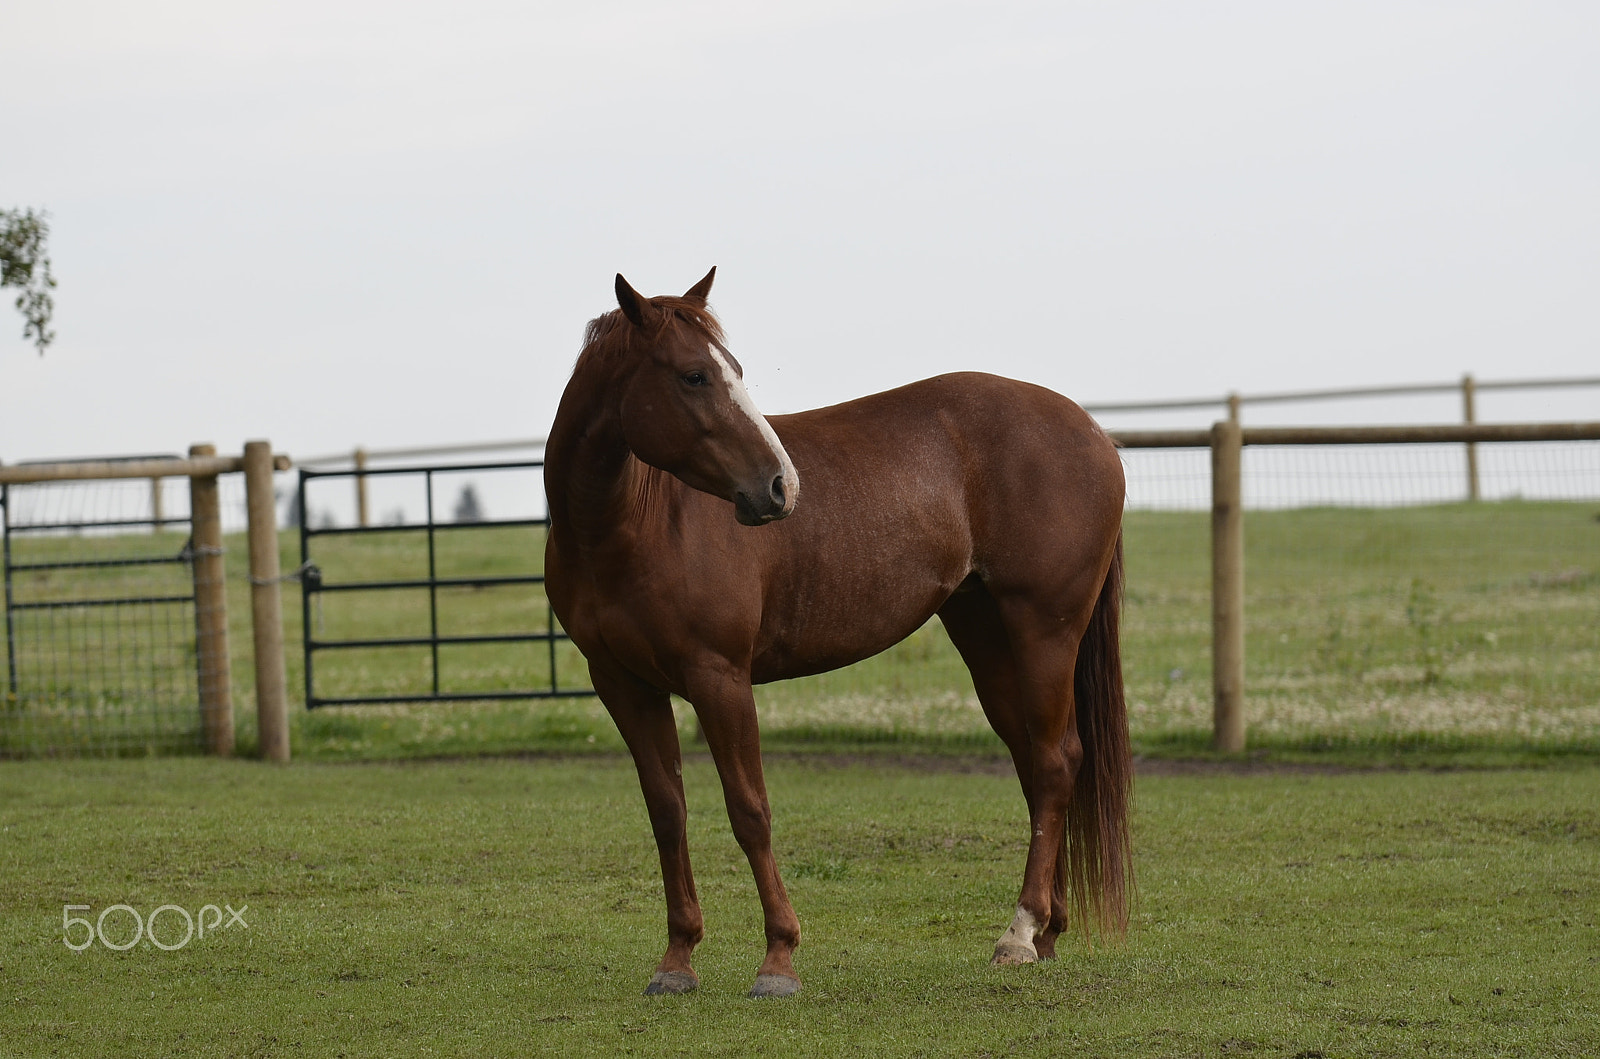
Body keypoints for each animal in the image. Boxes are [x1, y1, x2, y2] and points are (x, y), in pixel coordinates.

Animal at [543, 268, 1131, 998]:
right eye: (693, 375)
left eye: (732, 369)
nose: (779, 486)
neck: (631, 525)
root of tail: (1092, 431)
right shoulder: (624, 685)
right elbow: (668, 813)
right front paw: (677, 959)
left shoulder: (719, 678)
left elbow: (750, 810)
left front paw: (778, 959)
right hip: (989, 639)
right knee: (1036, 764)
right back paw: (1048, 928)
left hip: (1044, 630)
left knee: (1054, 766)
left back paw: (1019, 934)